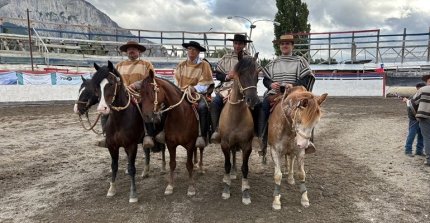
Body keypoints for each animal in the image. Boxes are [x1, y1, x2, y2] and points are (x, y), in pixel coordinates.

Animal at [218, 55, 258, 205]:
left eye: (257, 74)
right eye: (240, 74)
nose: (253, 100)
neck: (236, 116)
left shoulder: (247, 146)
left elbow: (245, 168)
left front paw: (245, 192)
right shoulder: (224, 144)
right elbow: (227, 165)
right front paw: (226, 188)